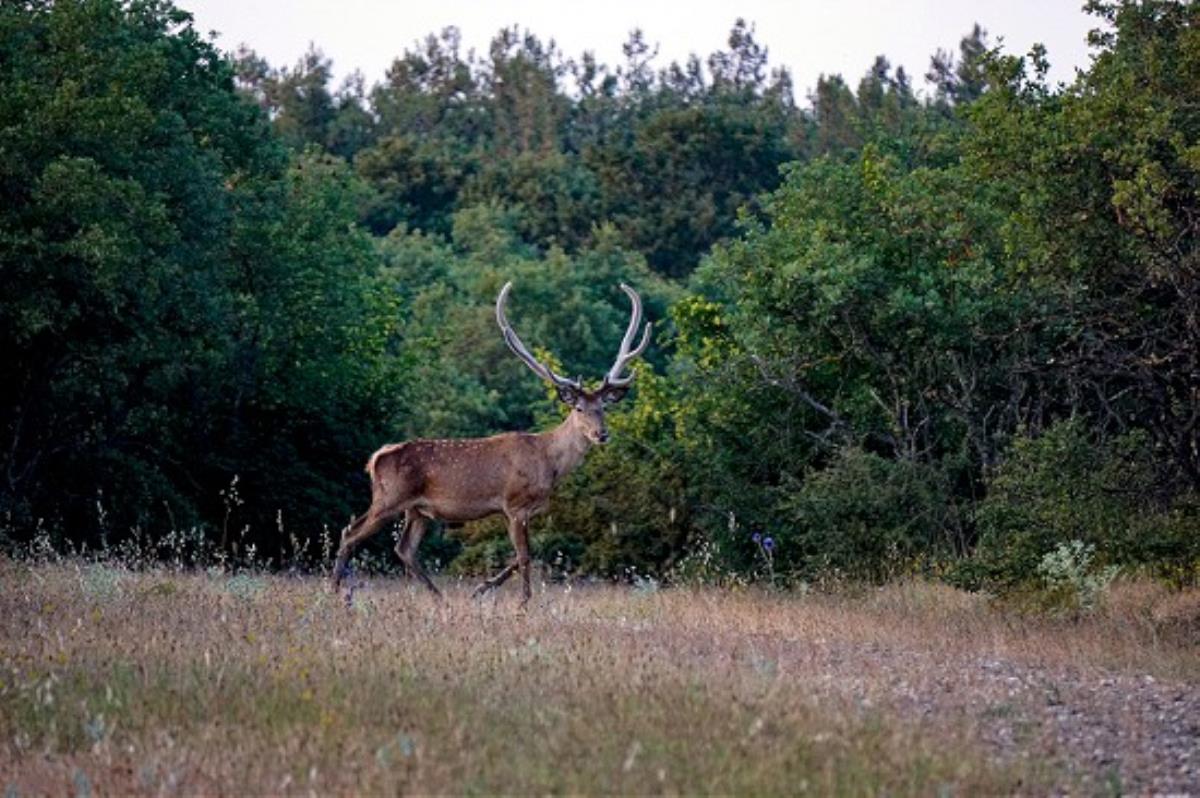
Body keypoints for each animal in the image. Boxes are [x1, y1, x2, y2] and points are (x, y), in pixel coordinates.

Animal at [328, 283, 652, 600]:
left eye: (604, 407)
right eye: (579, 408)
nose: (601, 434)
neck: (548, 463)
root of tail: (375, 458)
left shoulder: (519, 511)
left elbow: (519, 557)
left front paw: (481, 588)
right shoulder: (515, 504)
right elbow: (524, 557)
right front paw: (523, 602)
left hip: (417, 509)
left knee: (404, 548)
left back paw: (438, 597)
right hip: (389, 497)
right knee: (350, 532)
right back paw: (336, 591)